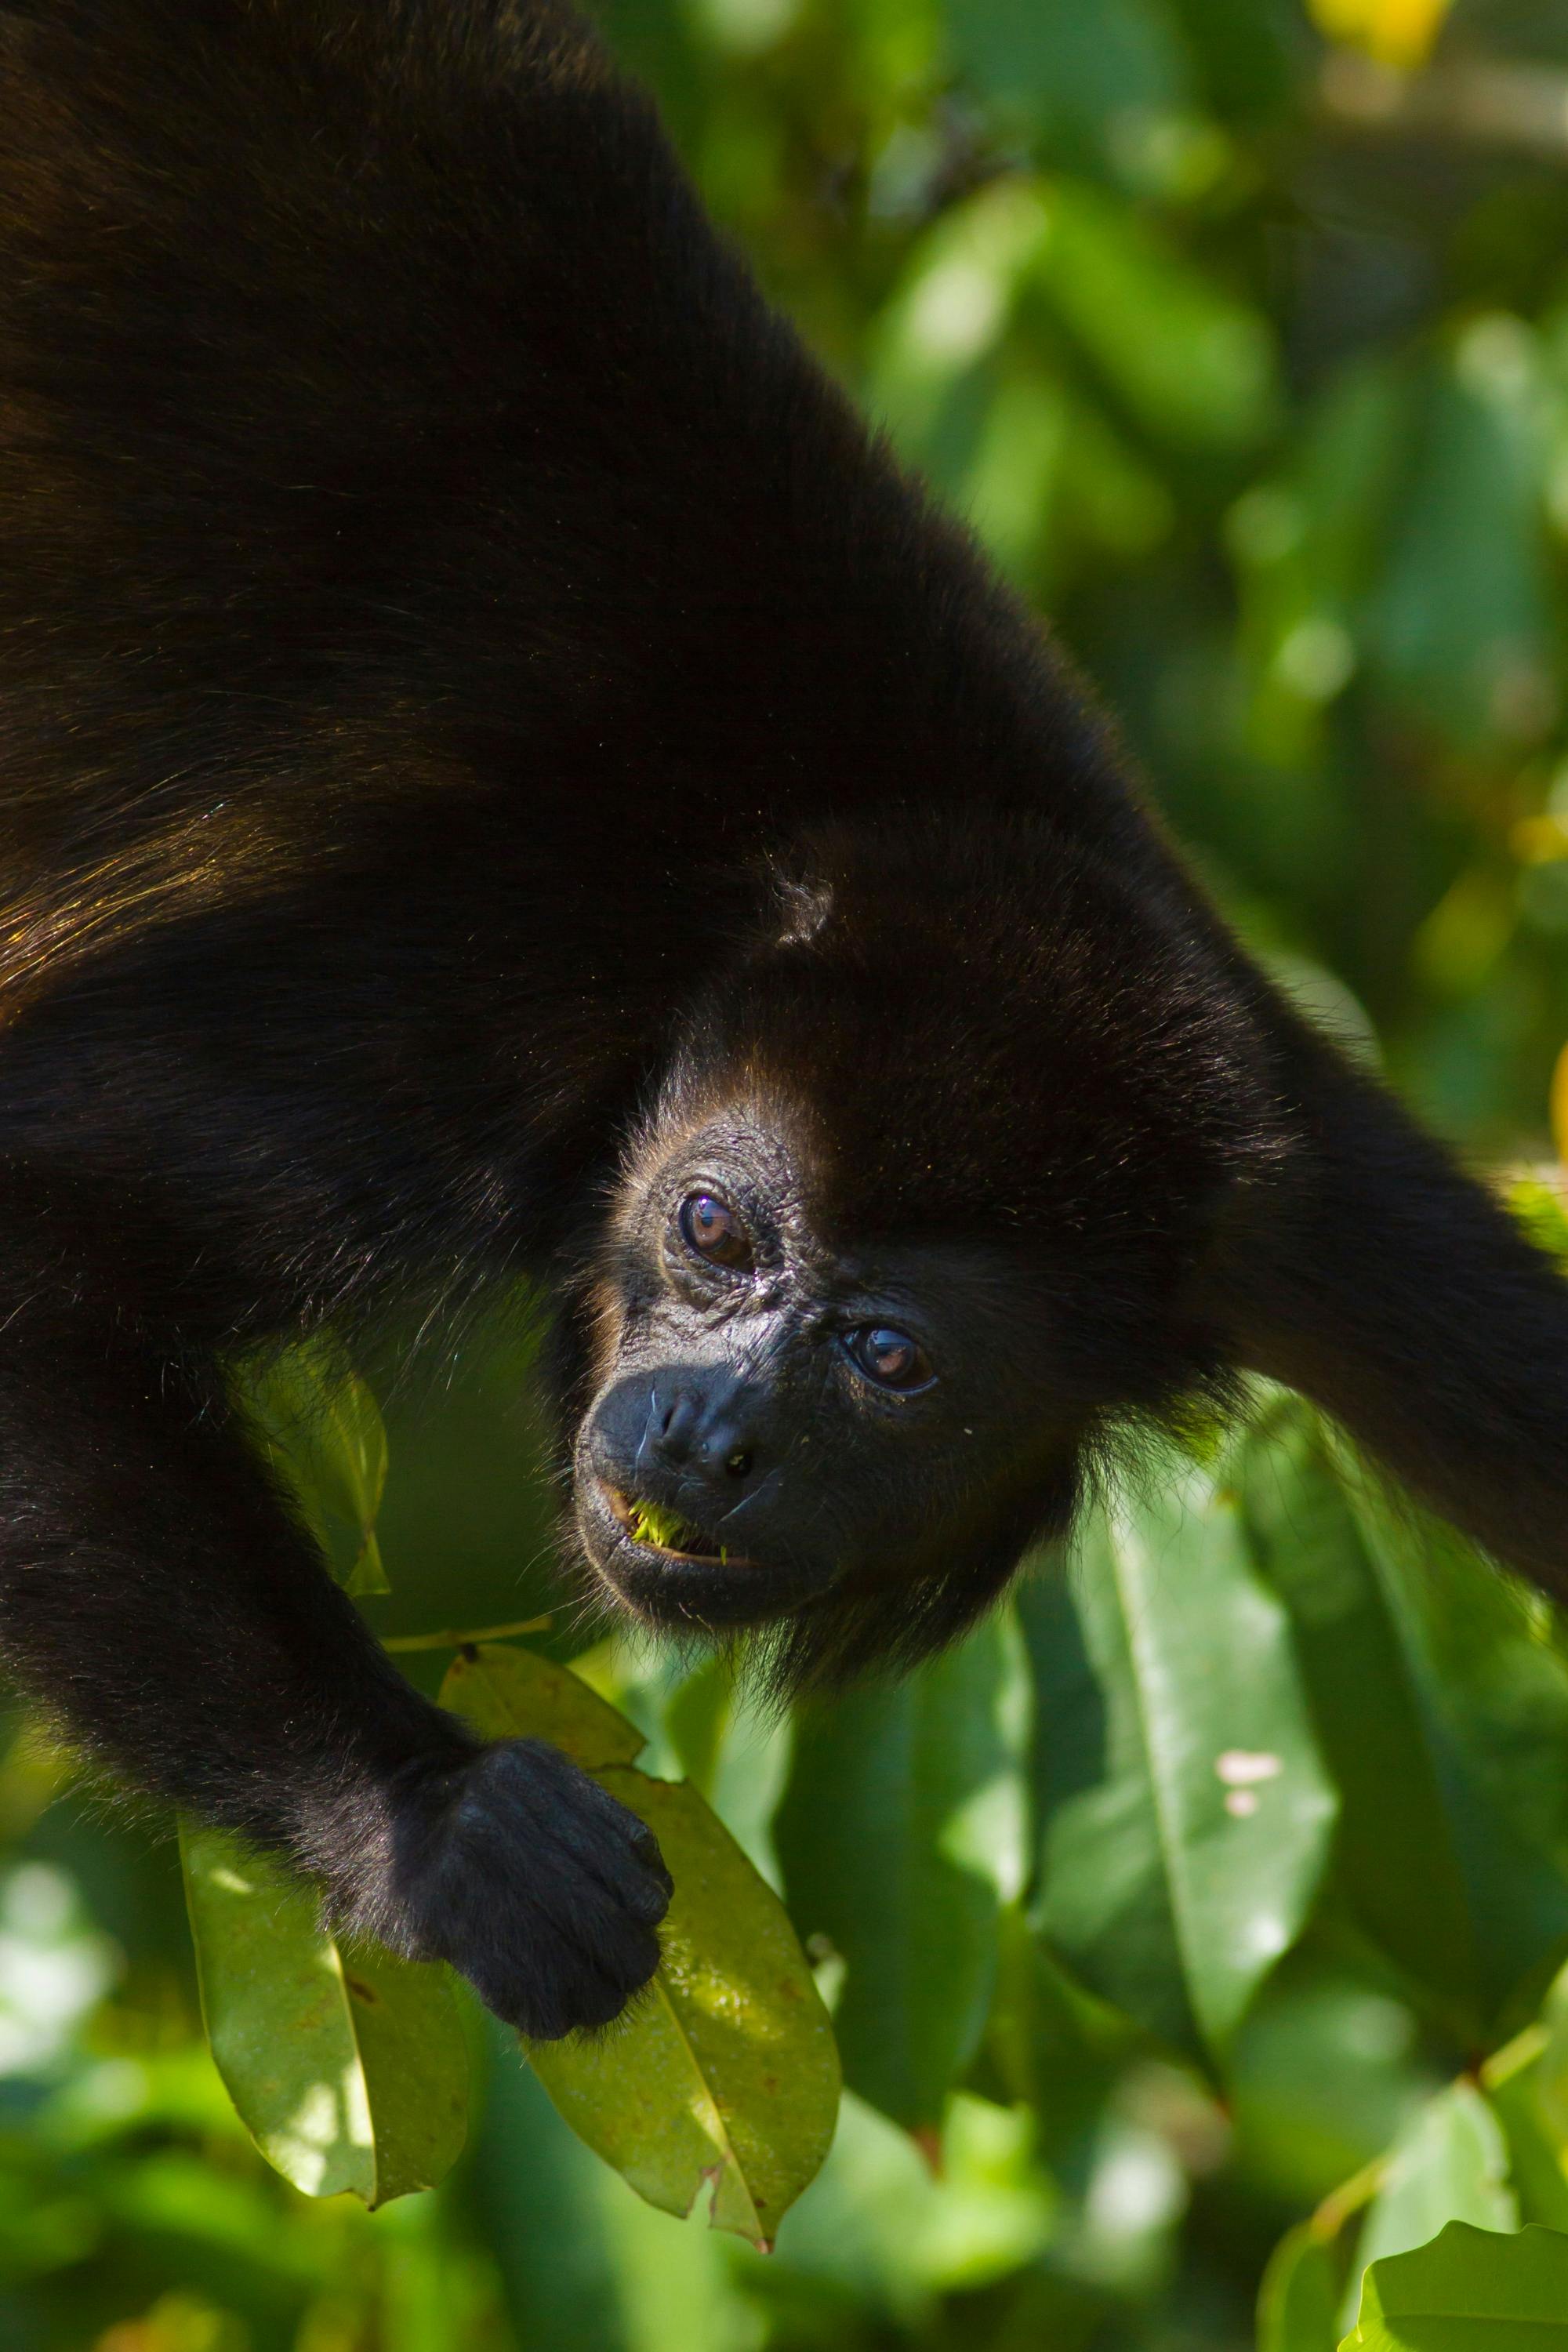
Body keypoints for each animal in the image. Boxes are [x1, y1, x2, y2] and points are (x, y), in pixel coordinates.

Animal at [2, 0, 1568, 2042]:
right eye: (713, 1227)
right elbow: (29, 1240)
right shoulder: (443, 1009)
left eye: (891, 1356)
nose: (704, 1438)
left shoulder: (1310, 1204)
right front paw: (426, 1825)